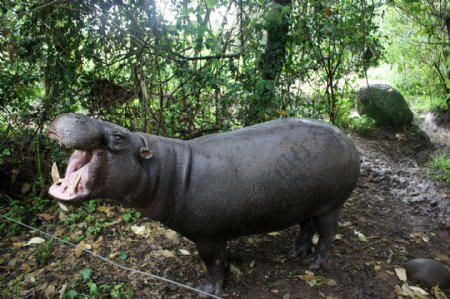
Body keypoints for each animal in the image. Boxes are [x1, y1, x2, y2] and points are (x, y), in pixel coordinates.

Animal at [45, 113, 360, 296]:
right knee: (305, 227)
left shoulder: (207, 236)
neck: (167, 168)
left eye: (120, 136)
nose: (72, 114)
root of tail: (347, 139)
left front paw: (206, 289)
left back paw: (314, 264)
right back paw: (293, 253)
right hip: (307, 202)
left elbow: (213, 263)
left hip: (331, 204)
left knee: (327, 233)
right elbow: (223, 260)